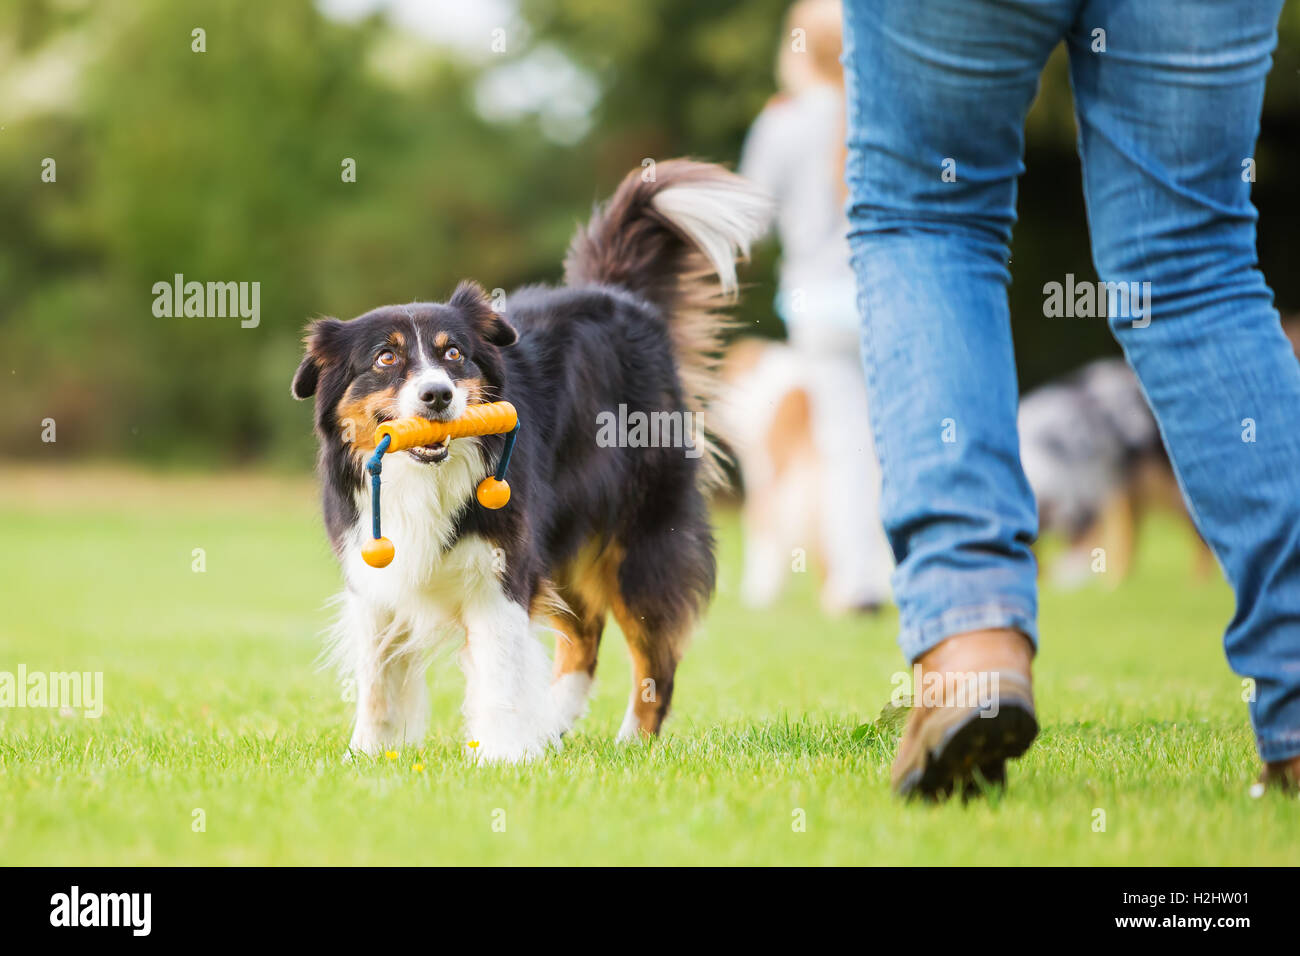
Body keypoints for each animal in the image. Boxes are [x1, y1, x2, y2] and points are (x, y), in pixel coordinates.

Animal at [289, 160, 764, 764]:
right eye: (386, 357)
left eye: (453, 354)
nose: (438, 396)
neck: (423, 476)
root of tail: (621, 297)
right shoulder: (374, 575)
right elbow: (378, 677)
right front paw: (368, 755)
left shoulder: (502, 567)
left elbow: (500, 667)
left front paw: (500, 757)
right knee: (584, 634)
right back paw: (552, 725)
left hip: (640, 535)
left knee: (653, 656)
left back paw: (631, 741)